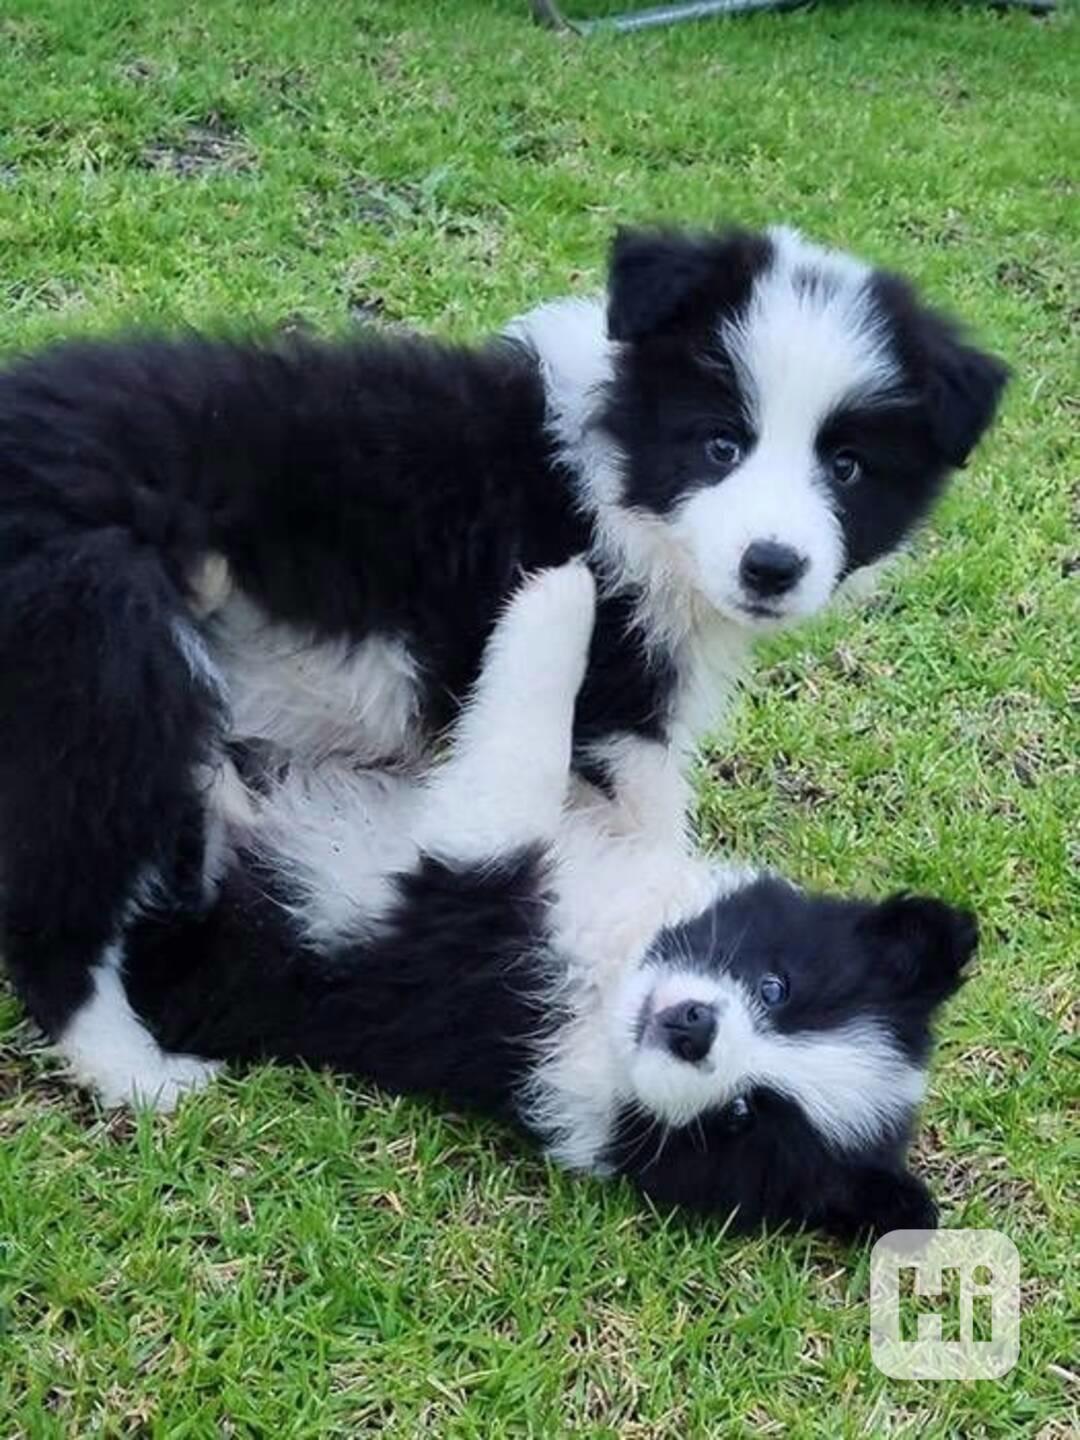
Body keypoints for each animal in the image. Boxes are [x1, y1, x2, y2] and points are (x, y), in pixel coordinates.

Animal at [0, 221, 1008, 1100]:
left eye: (846, 468)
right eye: (721, 445)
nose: (773, 566)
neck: (615, 478)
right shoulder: (618, 704)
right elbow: (645, 824)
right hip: (106, 649)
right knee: (64, 897)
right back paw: (136, 1074)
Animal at [61, 567, 979, 1244]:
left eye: (747, 1114)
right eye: (776, 986)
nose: (693, 1030)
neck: (601, 984)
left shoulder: (466, 886)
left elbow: (515, 751)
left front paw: (560, 596)